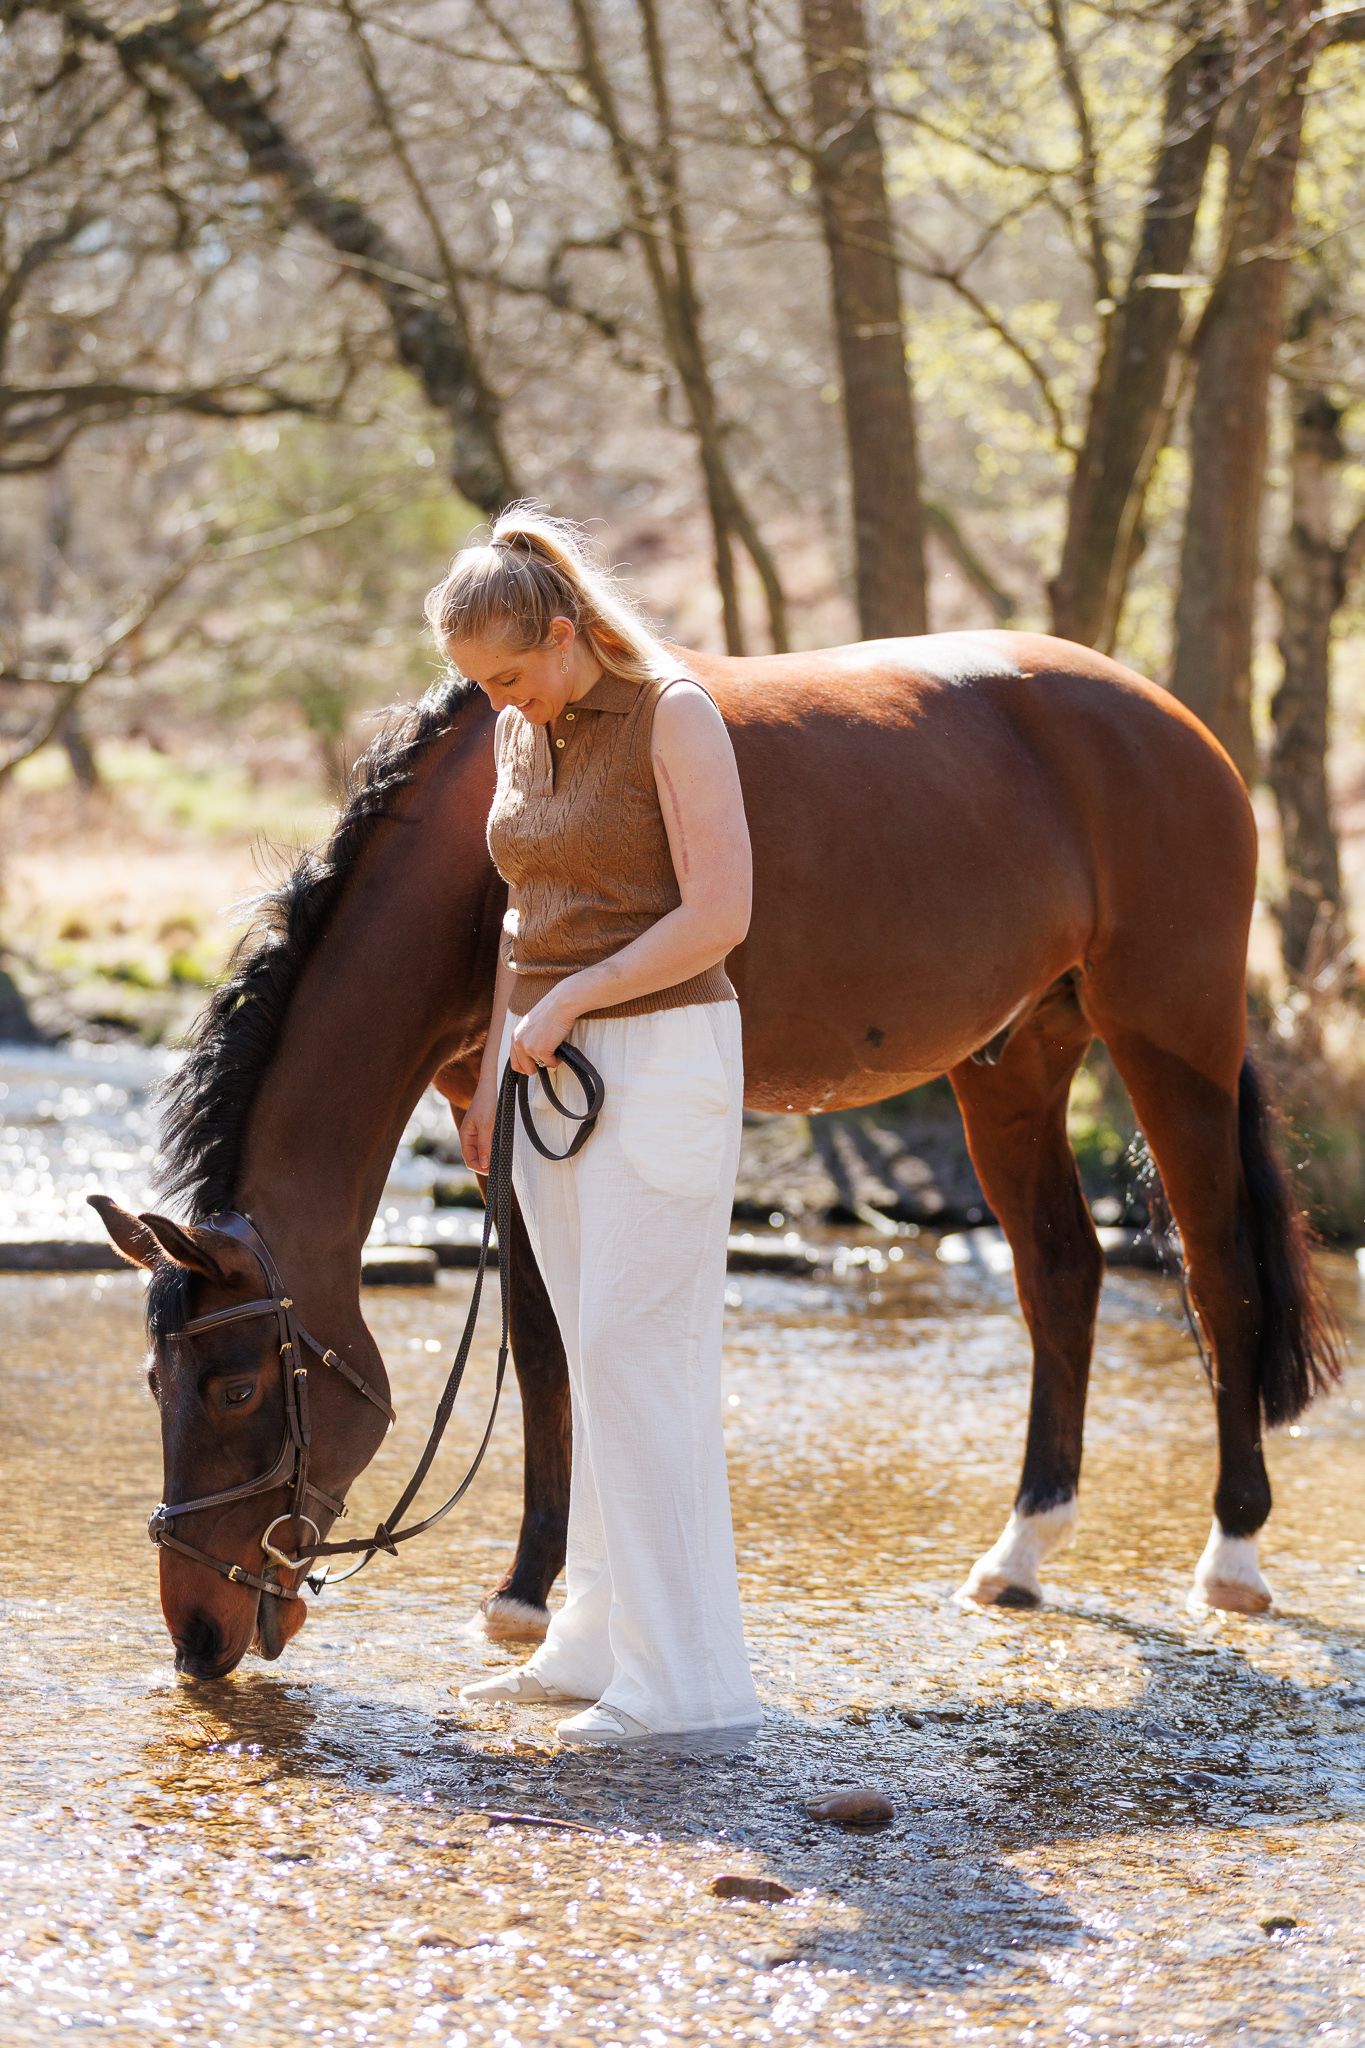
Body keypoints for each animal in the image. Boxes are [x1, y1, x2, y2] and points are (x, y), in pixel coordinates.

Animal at [91, 628, 1344, 1679]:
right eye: (154, 1380)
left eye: (236, 1383)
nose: (196, 1633)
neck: (475, 853)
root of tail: (1174, 723)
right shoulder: (492, 1112)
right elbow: (546, 1349)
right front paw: (539, 1590)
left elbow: (555, 1350)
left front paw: (541, 1594)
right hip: (1016, 1058)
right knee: (1061, 1273)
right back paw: (1023, 1548)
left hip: (1170, 1036)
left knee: (1219, 1272)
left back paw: (1232, 1555)